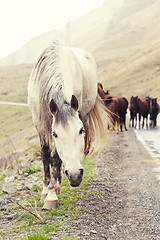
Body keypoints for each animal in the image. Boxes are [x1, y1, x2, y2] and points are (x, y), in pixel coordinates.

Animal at [27, 41, 109, 210]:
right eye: (55, 134)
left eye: (81, 130)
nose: (75, 175)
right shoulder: (39, 122)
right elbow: (45, 154)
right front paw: (46, 189)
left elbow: (55, 157)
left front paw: (51, 194)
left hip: (85, 114)